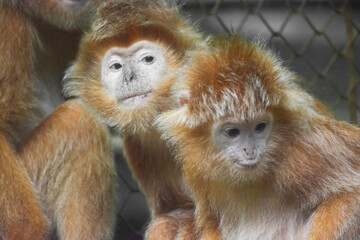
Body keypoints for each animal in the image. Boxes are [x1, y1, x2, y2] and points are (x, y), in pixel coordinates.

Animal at [157, 34, 360, 240]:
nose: (250, 150)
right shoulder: (197, 171)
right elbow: (210, 223)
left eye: (260, 127)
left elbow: (350, 195)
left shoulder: (305, 149)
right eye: (232, 132)